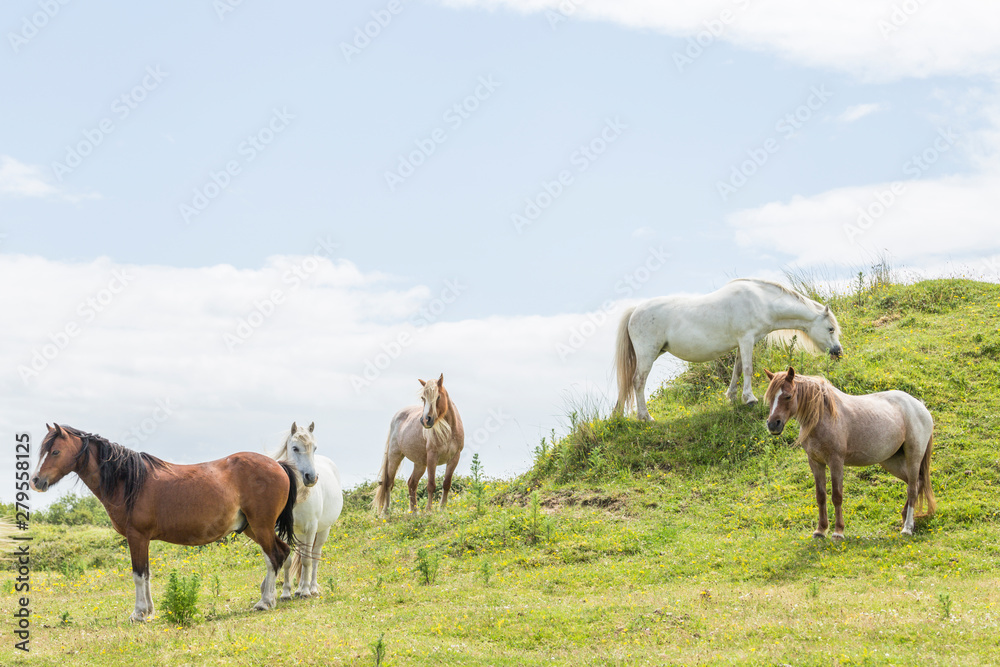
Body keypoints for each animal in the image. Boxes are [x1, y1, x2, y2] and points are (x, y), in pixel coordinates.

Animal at [29, 426, 296, 624]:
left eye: (55, 451)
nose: (35, 481)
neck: (128, 481)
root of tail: (277, 465)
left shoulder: (136, 536)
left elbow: (138, 575)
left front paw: (138, 614)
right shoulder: (143, 539)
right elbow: (146, 574)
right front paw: (148, 611)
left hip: (261, 526)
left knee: (273, 557)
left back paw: (265, 602)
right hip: (252, 527)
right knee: (282, 553)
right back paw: (272, 596)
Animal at [270, 422, 344, 600]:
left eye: (314, 448)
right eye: (295, 448)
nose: (311, 478)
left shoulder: (311, 528)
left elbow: (306, 561)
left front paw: (305, 591)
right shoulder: (283, 530)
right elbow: (288, 561)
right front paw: (286, 593)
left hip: (322, 531)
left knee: (314, 556)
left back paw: (312, 588)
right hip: (300, 534)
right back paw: (298, 589)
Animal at [374, 376, 466, 516]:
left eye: (438, 396)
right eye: (423, 398)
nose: (425, 420)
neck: (449, 431)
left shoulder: (455, 458)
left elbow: (446, 484)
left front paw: (442, 509)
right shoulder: (432, 457)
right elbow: (431, 485)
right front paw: (429, 510)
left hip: (420, 463)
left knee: (412, 483)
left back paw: (414, 512)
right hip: (395, 455)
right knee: (389, 482)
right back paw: (386, 512)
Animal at [612, 280, 840, 420]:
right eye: (831, 328)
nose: (838, 352)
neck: (760, 301)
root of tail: (635, 310)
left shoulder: (742, 343)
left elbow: (737, 370)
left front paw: (732, 396)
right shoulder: (747, 339)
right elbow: (747, 369)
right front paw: (750, 399)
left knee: (626, 383)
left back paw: (618, 416)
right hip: (647, 354)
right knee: (638, 381)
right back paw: (645, 417)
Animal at [764, 368, 936, 540]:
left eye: (788, 396)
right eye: (770, 397)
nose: (773, 425)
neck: (823, 416)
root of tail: (921, 407)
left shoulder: (836, 462)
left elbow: (837, 496)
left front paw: (838, 532)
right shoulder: (815, 462)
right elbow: (821, 496)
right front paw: (821, 530)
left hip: (913, 457)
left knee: (912, 489)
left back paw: (907, 528)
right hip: (891, 461)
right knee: (918, 483)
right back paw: (907, 520)